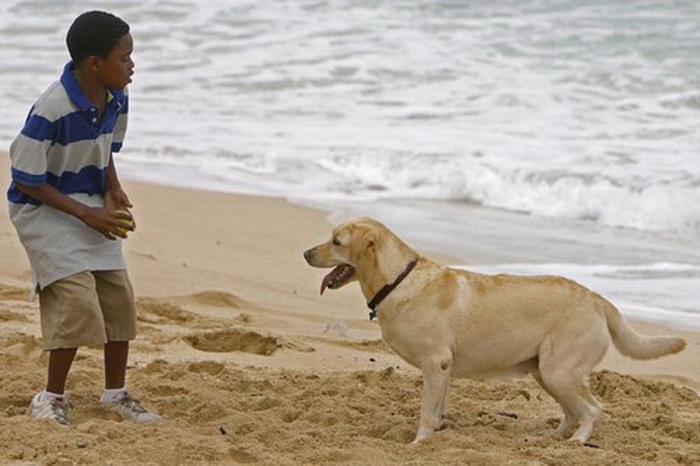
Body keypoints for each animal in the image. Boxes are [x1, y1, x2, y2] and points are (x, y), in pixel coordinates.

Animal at [304, 218, 688, 444]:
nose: (306, 253)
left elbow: (426, 413)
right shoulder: (444, 370)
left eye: (336, 241)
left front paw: (418, 443)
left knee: (593, 409)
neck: (398, 280)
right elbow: (437, 409)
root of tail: (597, 298)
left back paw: (576, 443)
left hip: (559, 370)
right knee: (572, 410)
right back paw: (550, 439)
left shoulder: (435, 364)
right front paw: (437, 434)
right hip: (546, 372)